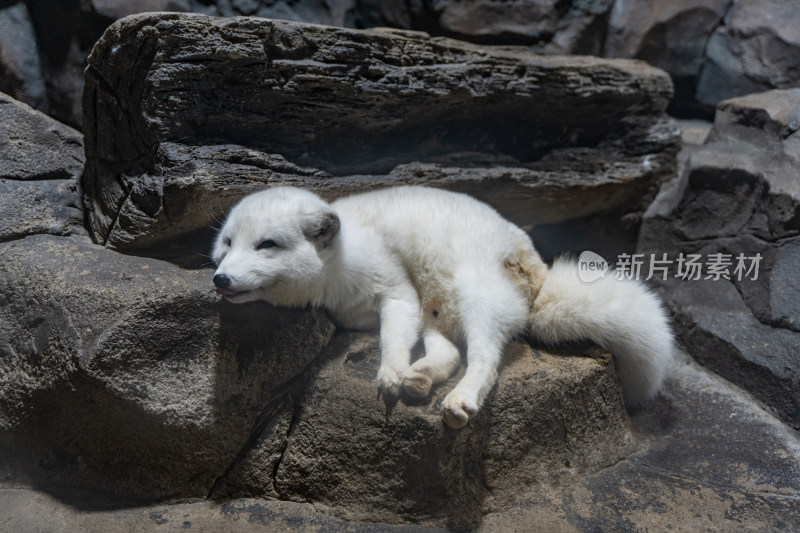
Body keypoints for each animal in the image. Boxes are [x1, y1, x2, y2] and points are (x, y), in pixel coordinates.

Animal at [212, 187, 676, 428]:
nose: (220, 279)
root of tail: (540, 270)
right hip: (438, 309)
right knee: (451, 351)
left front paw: (389, 373)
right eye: (228, 244)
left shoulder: (398, 292)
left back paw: (459, 399)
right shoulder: (404, 306)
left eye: (267, 245)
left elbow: (392, 338)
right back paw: (421, 378)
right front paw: (402, 374)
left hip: (474, 296)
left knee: (485, 358)